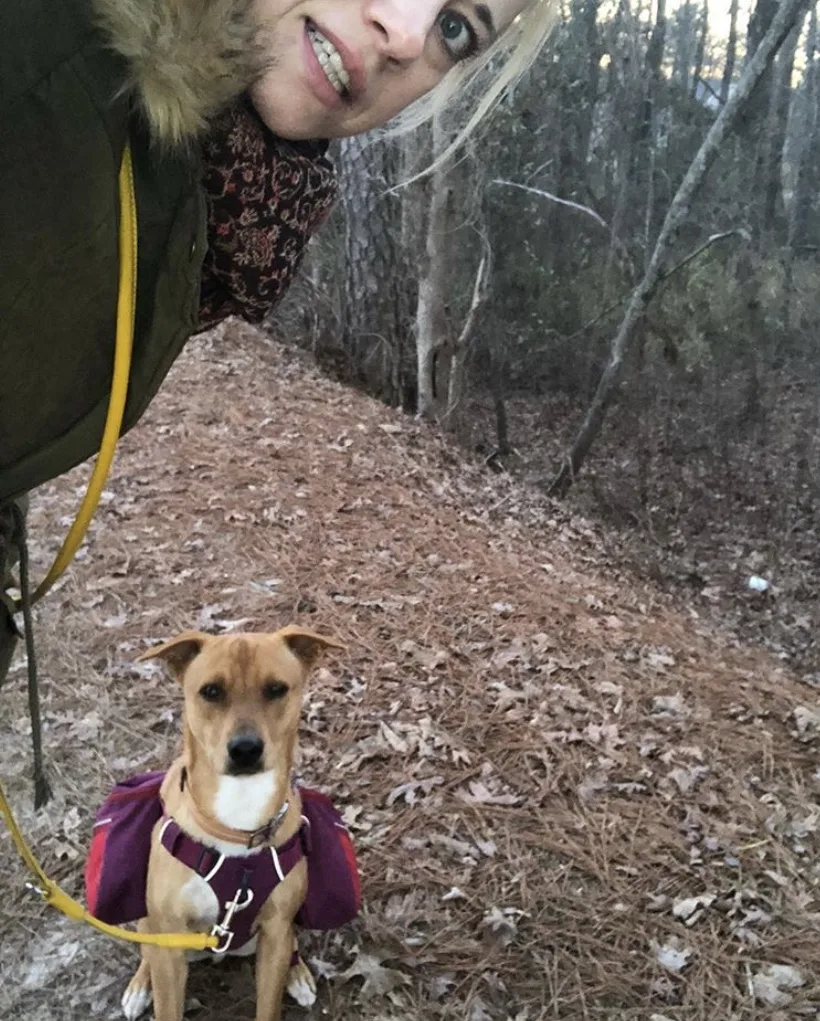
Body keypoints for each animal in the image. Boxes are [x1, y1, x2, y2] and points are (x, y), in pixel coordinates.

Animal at [120, 624, 341, 1016]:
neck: (238, 818)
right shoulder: (170, 944)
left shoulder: (275, 933)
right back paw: (139, 985)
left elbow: (268, 1006)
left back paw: (297, 973)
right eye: (211, 691)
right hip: (153, 924)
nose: (245, 749)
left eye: (276, 689)